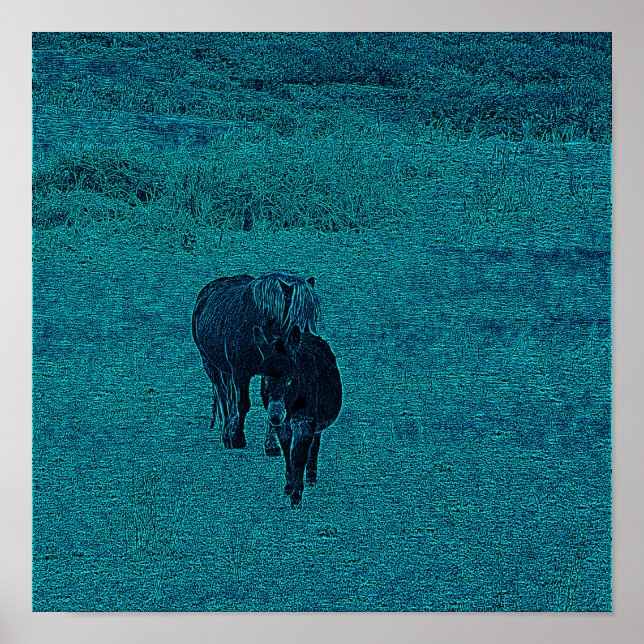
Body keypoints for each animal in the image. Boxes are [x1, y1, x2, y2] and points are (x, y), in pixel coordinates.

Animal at [192, 272, 320, 451]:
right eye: (295, 317)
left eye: (314, 315)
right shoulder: (240, 373)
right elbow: (242, 403)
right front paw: (237, 438)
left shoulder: (273, 373)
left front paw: (271, 444)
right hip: (211, 366)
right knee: (223, 396)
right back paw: (226, 434)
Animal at [254, 324, 342, 508]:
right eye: (265, 378)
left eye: (290, 378)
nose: (275, 416)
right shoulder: (284, 426)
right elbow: (288, 454)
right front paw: (289, 487)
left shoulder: (304, 422)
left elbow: (299, 456)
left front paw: (296, 496)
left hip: (316, 423)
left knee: (314, 445)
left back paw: (311, 478)